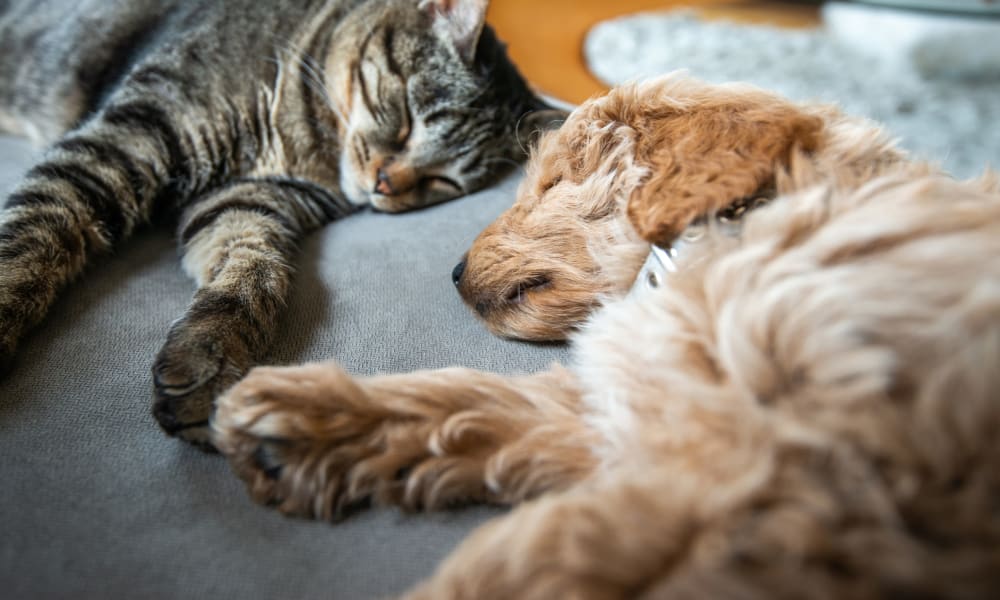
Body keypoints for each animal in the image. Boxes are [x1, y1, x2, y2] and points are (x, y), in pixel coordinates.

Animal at [0, 0, 564, 446]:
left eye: (443, 180)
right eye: (406, 117)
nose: (385, 184)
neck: (305, 145)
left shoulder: (246, 201)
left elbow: (253, 274)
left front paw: (209, 356)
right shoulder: (129, 140)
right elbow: (34, 232)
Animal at [211, 76, 1000, 600]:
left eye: (553, 181)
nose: (455, 272)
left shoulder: (761, 475)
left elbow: (543, 557)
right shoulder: (645, 403)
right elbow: (481, 401)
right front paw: (306, 421)